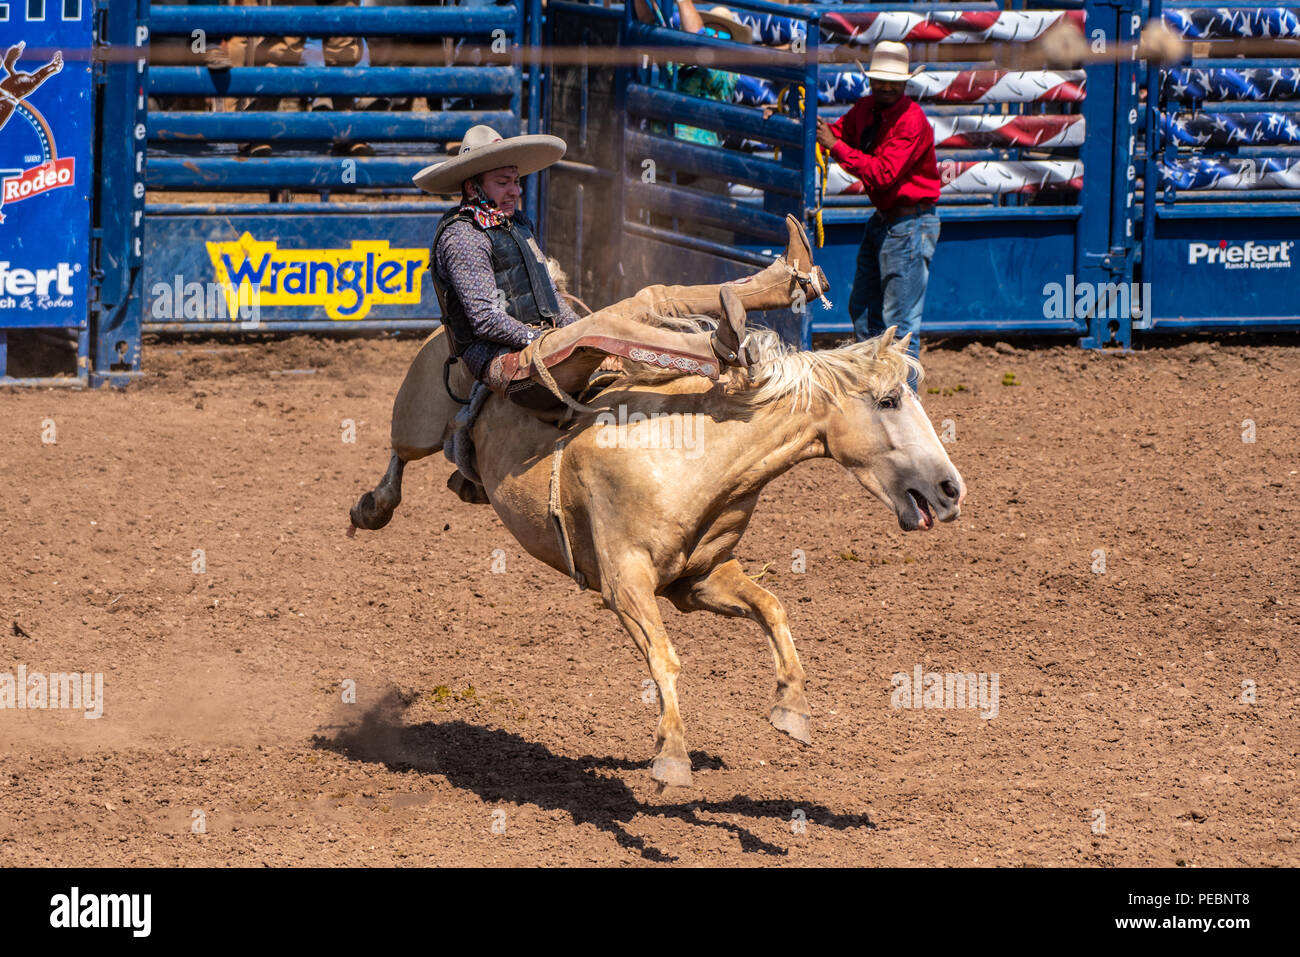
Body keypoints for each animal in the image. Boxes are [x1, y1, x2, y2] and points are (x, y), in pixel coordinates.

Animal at [353, 321, 967, 785]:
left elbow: (772, 608)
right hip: (416, 418)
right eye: (888, 400)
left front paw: (791, 711)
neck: (691, 454)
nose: (951, 489)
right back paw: (372, 508)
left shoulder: (699, 581)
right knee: (399, 454)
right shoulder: (624, 585)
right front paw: (672, 759)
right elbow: (665, 657)